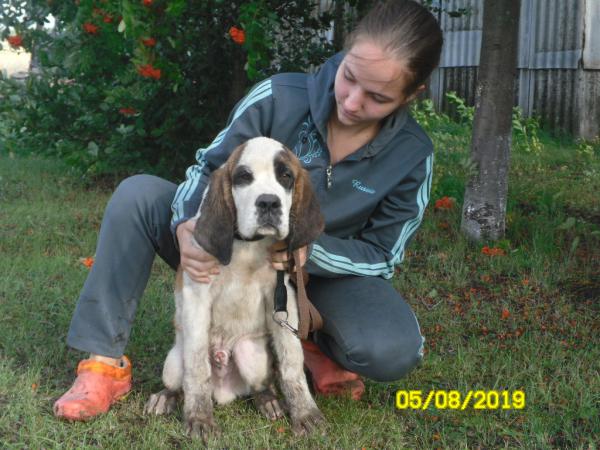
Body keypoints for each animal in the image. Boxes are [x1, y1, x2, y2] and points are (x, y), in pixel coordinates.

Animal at [144, 136, 326, 440]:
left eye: (286, 176)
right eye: (243, 177)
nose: (269, 203)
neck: (248, 245)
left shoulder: (283, 297)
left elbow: (291, 362)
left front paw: (304, 412)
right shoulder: (196, 296)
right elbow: (197, 368)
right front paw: (199, 417)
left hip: (254, 357)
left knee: (260, 385)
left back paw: (269, 402)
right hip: (174, 361)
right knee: (180, 381)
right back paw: (165, 398)